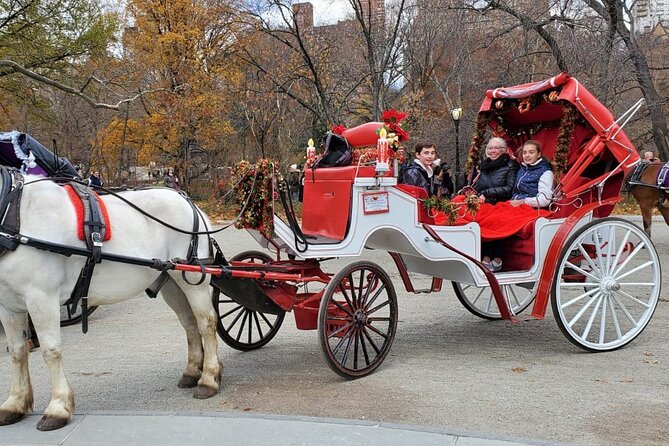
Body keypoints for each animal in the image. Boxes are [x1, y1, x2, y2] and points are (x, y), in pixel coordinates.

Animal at [0, 176, 223, 430]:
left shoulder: (41, 297)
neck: (16, 211)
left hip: (192, 279)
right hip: (171, 282)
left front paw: (58, 407)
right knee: (190, 324)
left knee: (206, 322)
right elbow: (17, 352)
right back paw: (193, 371)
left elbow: (51, 351)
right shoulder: (8, 305)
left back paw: (209, 378)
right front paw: (15, 403)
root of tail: (188, 202)